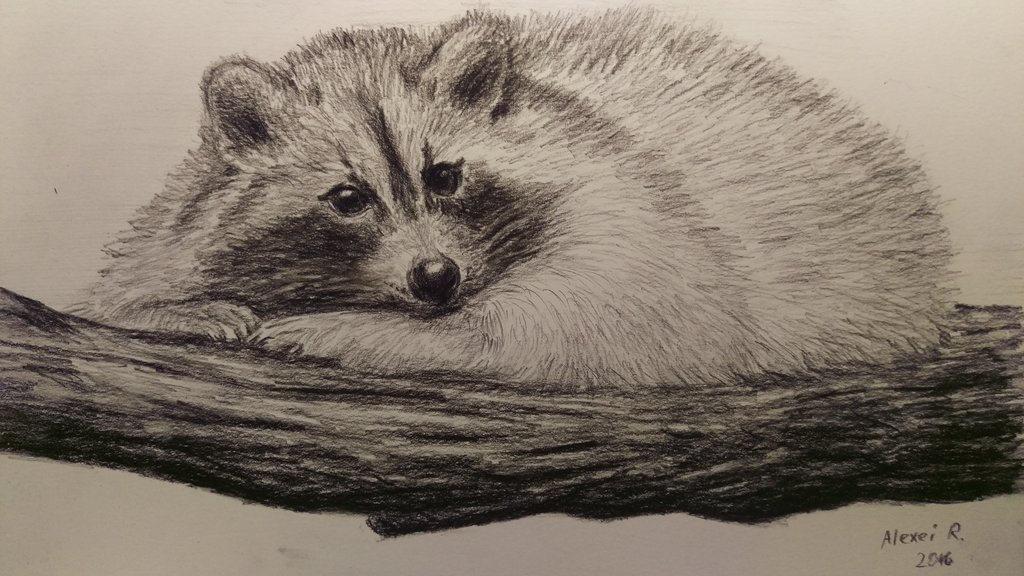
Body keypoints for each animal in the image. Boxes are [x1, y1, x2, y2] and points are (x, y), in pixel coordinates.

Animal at [73, 8, 954, 389]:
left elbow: (569, 325)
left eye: (444, 176)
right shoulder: (186, 212)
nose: (436, 279)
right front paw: (175, 308)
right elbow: (130, 281)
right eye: (348, 198)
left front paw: (350, 330)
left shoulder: (638, 214)